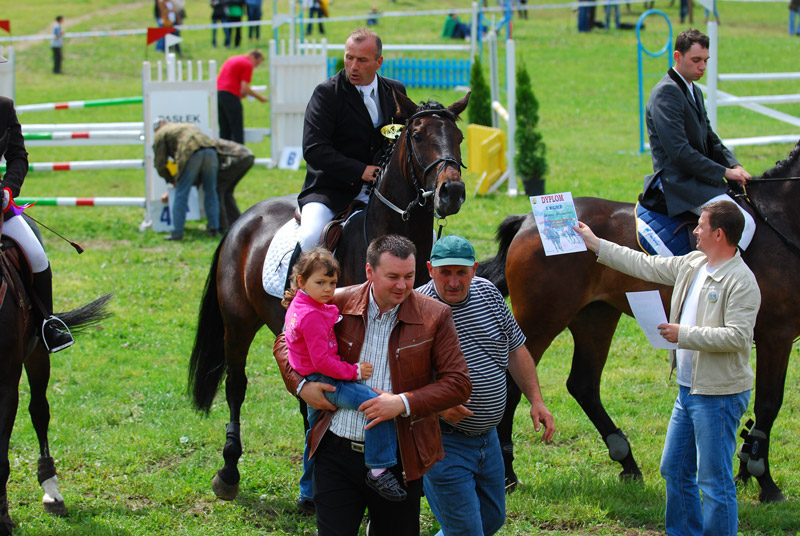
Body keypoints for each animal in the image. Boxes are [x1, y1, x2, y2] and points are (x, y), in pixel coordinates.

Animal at [191, 91, 472, 498]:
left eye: (459, 136)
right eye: (418, 135)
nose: (452, 193)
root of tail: (243, 220)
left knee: (306, 396)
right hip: (238, 323)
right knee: (237, 386)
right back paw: (229, 472)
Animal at [478, 140, 800, 504]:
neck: (784, 219)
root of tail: (528, 221)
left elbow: (759, 406)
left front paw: (746, 469)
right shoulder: (776, 334)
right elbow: (769, 403)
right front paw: (766, 482)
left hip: (595, 317)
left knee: (583, 384)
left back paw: (627, 463)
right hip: (541, 320)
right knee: (516, 384)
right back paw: (508, 474)